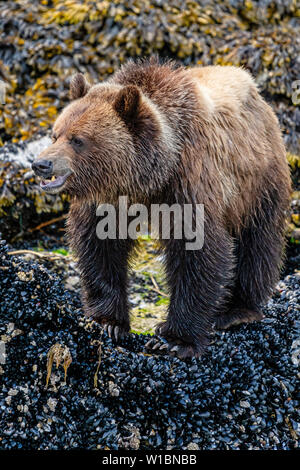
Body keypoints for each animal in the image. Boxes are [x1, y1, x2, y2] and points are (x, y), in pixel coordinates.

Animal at [32, 59, 290, 360]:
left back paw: (236, 310)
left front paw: (173, 339)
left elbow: (197, 251)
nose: (41, 164)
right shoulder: (106, 200)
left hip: (258, 180)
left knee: (257, 242)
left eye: (77, 139)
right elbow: (101, 248)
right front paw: (109, 323)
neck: (151, 176)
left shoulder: (190, 180)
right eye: (55, 134)